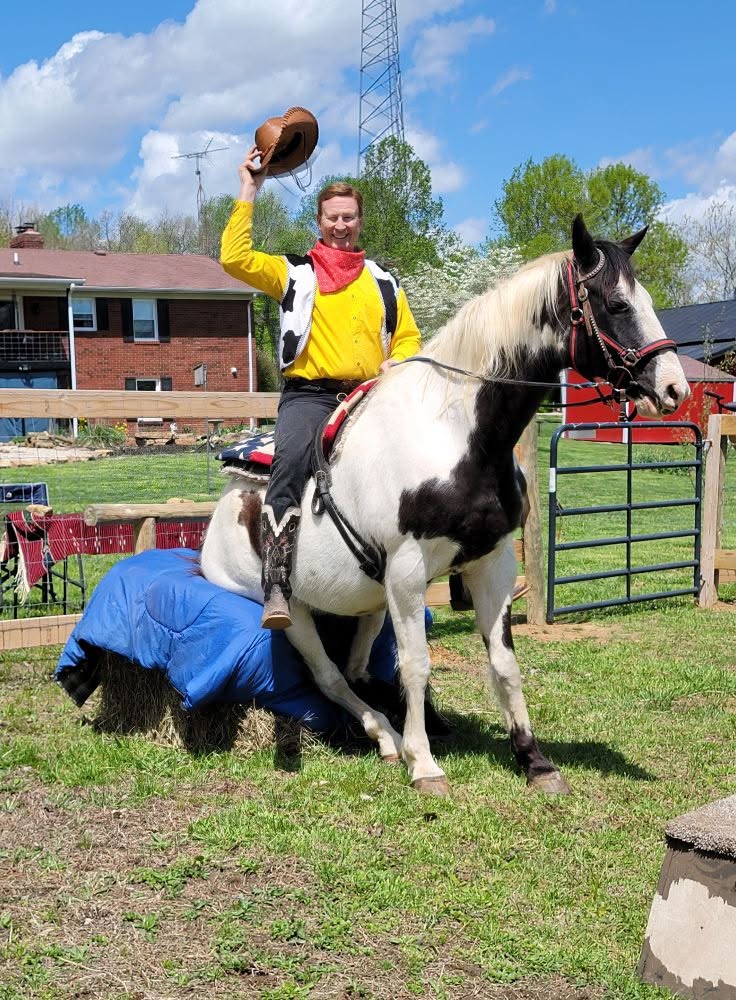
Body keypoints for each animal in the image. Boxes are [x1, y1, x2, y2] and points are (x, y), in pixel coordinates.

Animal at [201, 215, 689, 796]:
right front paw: (426, 764)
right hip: (294, 610)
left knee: (357, 667)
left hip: (369, 601)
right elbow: (416, 665)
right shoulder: (409, 572)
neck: (458, 434)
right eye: (616, 304)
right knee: (329, 675)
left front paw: (534, 760)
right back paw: (389, 736)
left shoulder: (491, 565)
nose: (675, 388)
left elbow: (503, 665)